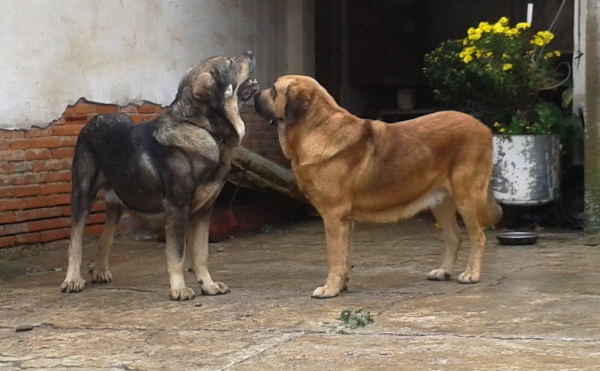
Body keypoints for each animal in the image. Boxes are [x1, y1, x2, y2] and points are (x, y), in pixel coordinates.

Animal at [61, 50, 258, 300]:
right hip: (83, 194)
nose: (250, 53)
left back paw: (100, 270)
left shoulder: (204, 211)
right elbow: (177, 254)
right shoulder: (177, 208)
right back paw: (72, 280)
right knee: (74, 242)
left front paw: (208, 285)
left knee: (106, 236)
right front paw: (179, 289)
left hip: (117, 201)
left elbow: (201, 253)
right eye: (230, 63)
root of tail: (95, 119)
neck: (202, 129)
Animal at [253, 75, 502, 300]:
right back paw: (444, 272)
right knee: (454, 237)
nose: (253, 93)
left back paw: (471, 274)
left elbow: (334, 257)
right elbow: (345, 257)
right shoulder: (346, 221)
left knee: (478, 237)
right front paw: (341, 285)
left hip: (466, 197)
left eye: (273, 90)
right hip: (440, 201)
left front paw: (329, 289)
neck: (315, 128)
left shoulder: (333, 217)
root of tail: (483, 127)